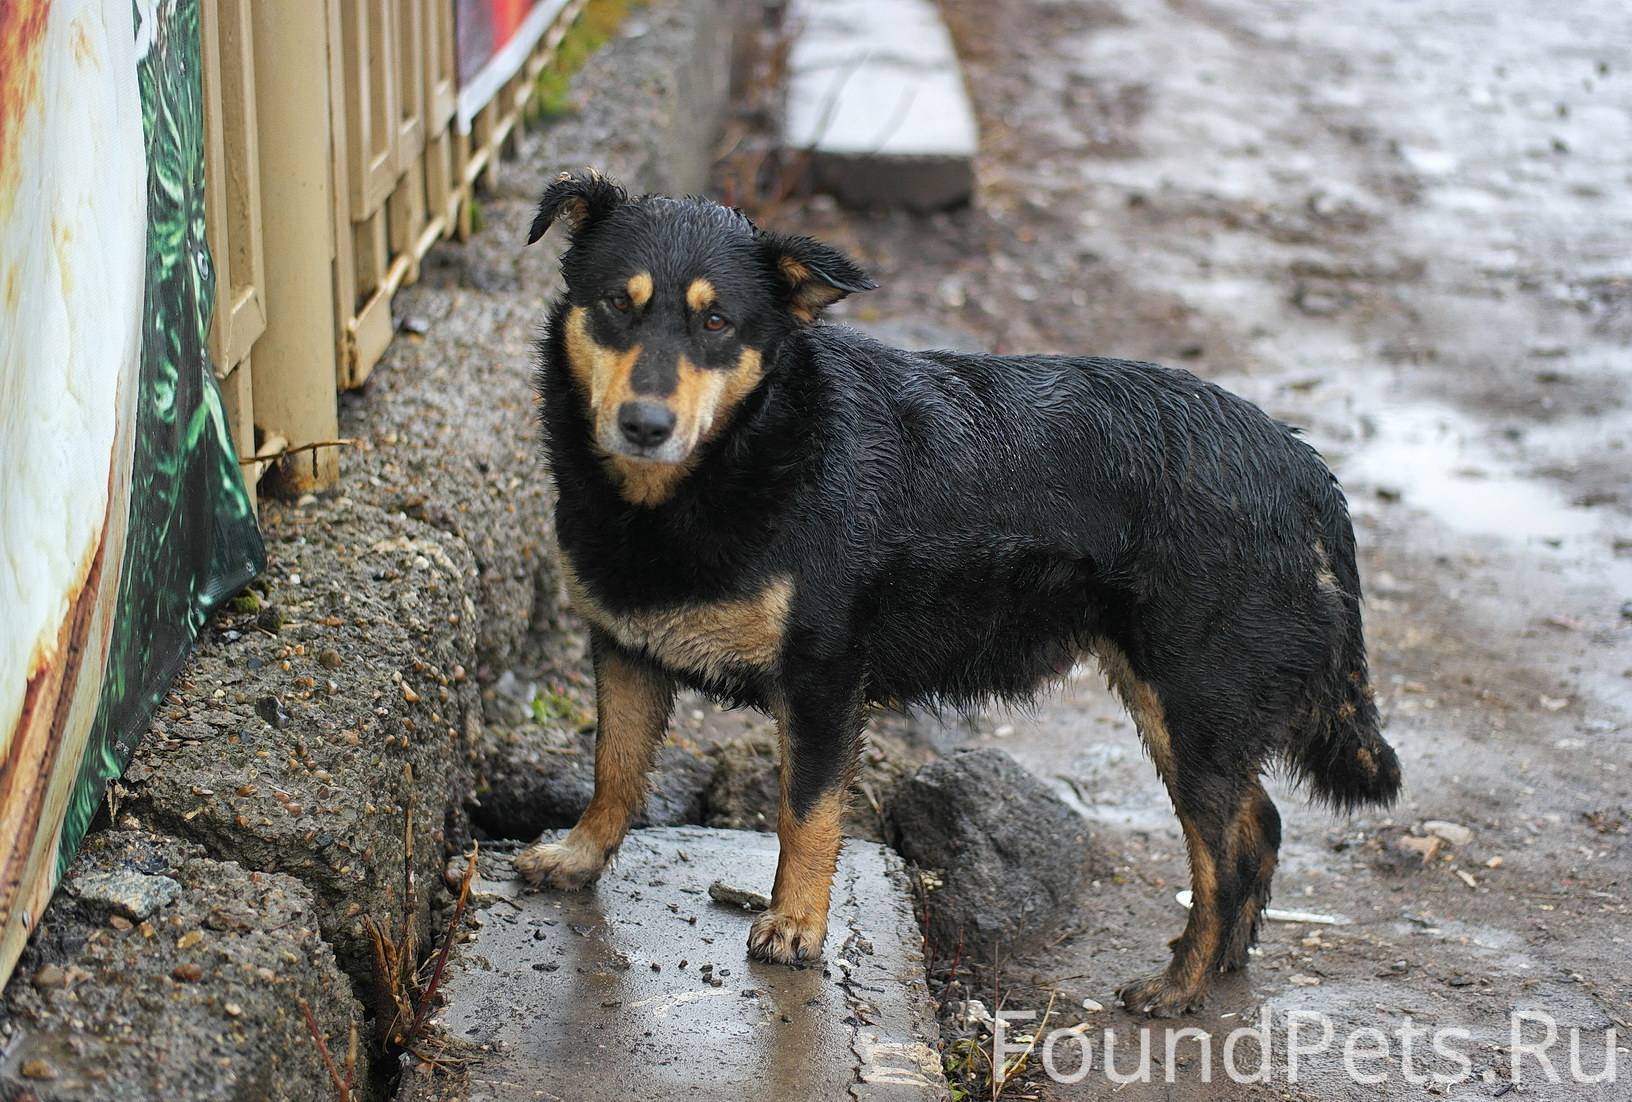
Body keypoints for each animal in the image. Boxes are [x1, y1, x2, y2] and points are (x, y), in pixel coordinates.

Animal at [512, 168, 1403, 1018]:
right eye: (616, 307)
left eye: (717, 324)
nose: (645, 424)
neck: (737, 456)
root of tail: (1302, 466)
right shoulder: (623, 645)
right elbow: (614, 769)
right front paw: (580, 855)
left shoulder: (823, 677)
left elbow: (805, 814)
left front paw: (795, 923)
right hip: (1186, 706)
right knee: (1261, 825)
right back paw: (1228, 962)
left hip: (1194, 703)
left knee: (1223, 856)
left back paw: (1181, 983)